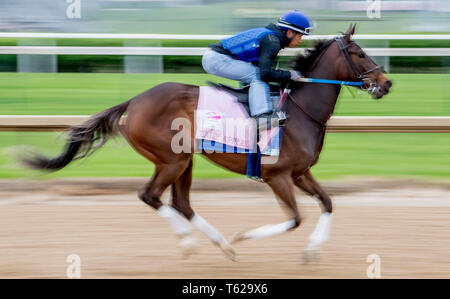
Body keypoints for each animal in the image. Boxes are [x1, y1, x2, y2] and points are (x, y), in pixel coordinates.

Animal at [22, 25, 392, 264]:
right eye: (359, 53)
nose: (386, 83)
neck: (299, 111)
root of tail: (135, 100)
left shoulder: (300, 172)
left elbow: (328, 203)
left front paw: (312, 250)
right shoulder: (278, 176)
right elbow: (295, 219)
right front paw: (243, 236)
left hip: (185, 159)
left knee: (181, 203)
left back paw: (220, 245)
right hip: (171, 160)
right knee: (151, 196)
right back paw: (198, 243)